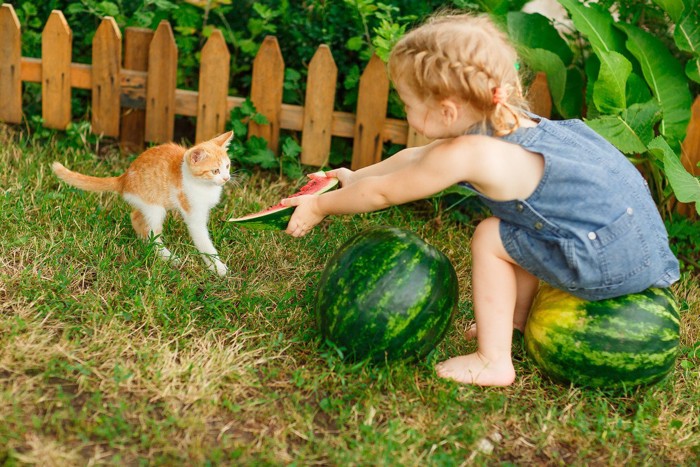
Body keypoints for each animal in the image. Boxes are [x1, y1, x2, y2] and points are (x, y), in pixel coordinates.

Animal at [50, 132, 235, 276]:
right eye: (215, 171)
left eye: (227, 166)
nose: (226, 178)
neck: (202, 185)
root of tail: (123, 179)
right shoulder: (193, 215)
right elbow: (204, 242)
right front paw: (217, 267)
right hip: (154, 206)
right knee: (153, 232)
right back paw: (168, 257)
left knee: (136, 217)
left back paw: (144, 241)